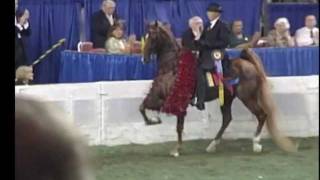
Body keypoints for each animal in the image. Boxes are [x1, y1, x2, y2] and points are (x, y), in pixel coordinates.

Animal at [139, 21, 296, 157]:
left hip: (247, 98)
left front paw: (175, 149)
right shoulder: (162, 98)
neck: (173, 66)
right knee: (227, 119)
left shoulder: (175, 100)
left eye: (152, 36)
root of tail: (248, 64)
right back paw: (212, 145)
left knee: (262, 115)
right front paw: (154, 121)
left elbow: (176, 125)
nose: (144, 59)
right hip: (227, 99)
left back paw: (256, 143)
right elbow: (144, 107)